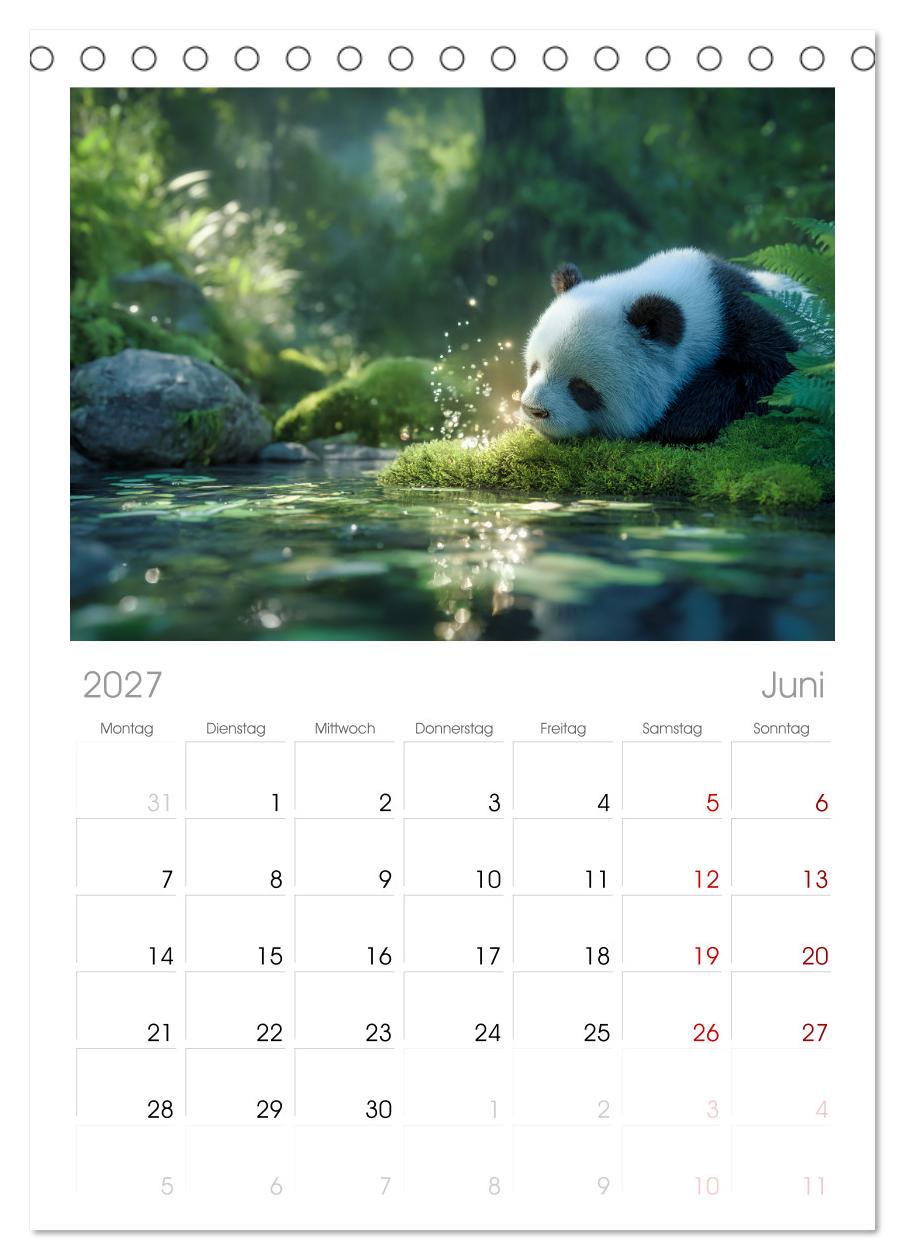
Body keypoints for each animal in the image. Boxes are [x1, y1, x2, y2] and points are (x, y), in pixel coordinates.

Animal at [519, 248, 799, 444]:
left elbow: (771, 378)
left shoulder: (749, 324)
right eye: (534, 368)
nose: (534, 410)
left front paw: (676, 421)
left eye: (582, 388)